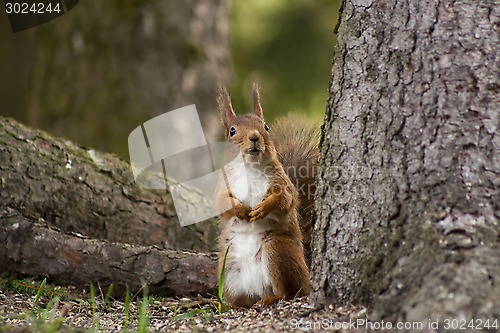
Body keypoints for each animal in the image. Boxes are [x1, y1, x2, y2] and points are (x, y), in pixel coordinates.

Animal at [214, 83, 316, 306]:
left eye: (266, 126)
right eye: (232, 131)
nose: (254, 136)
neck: (250, 167)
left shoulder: (283, 183)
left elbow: (285, 199)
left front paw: (263, 208)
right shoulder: (222, 185)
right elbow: (221, 204)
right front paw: (239, 208)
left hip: (276, 250)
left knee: (290, 292)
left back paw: (271, 298)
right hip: (228, 268)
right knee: (240, 300)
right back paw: (228, 305)